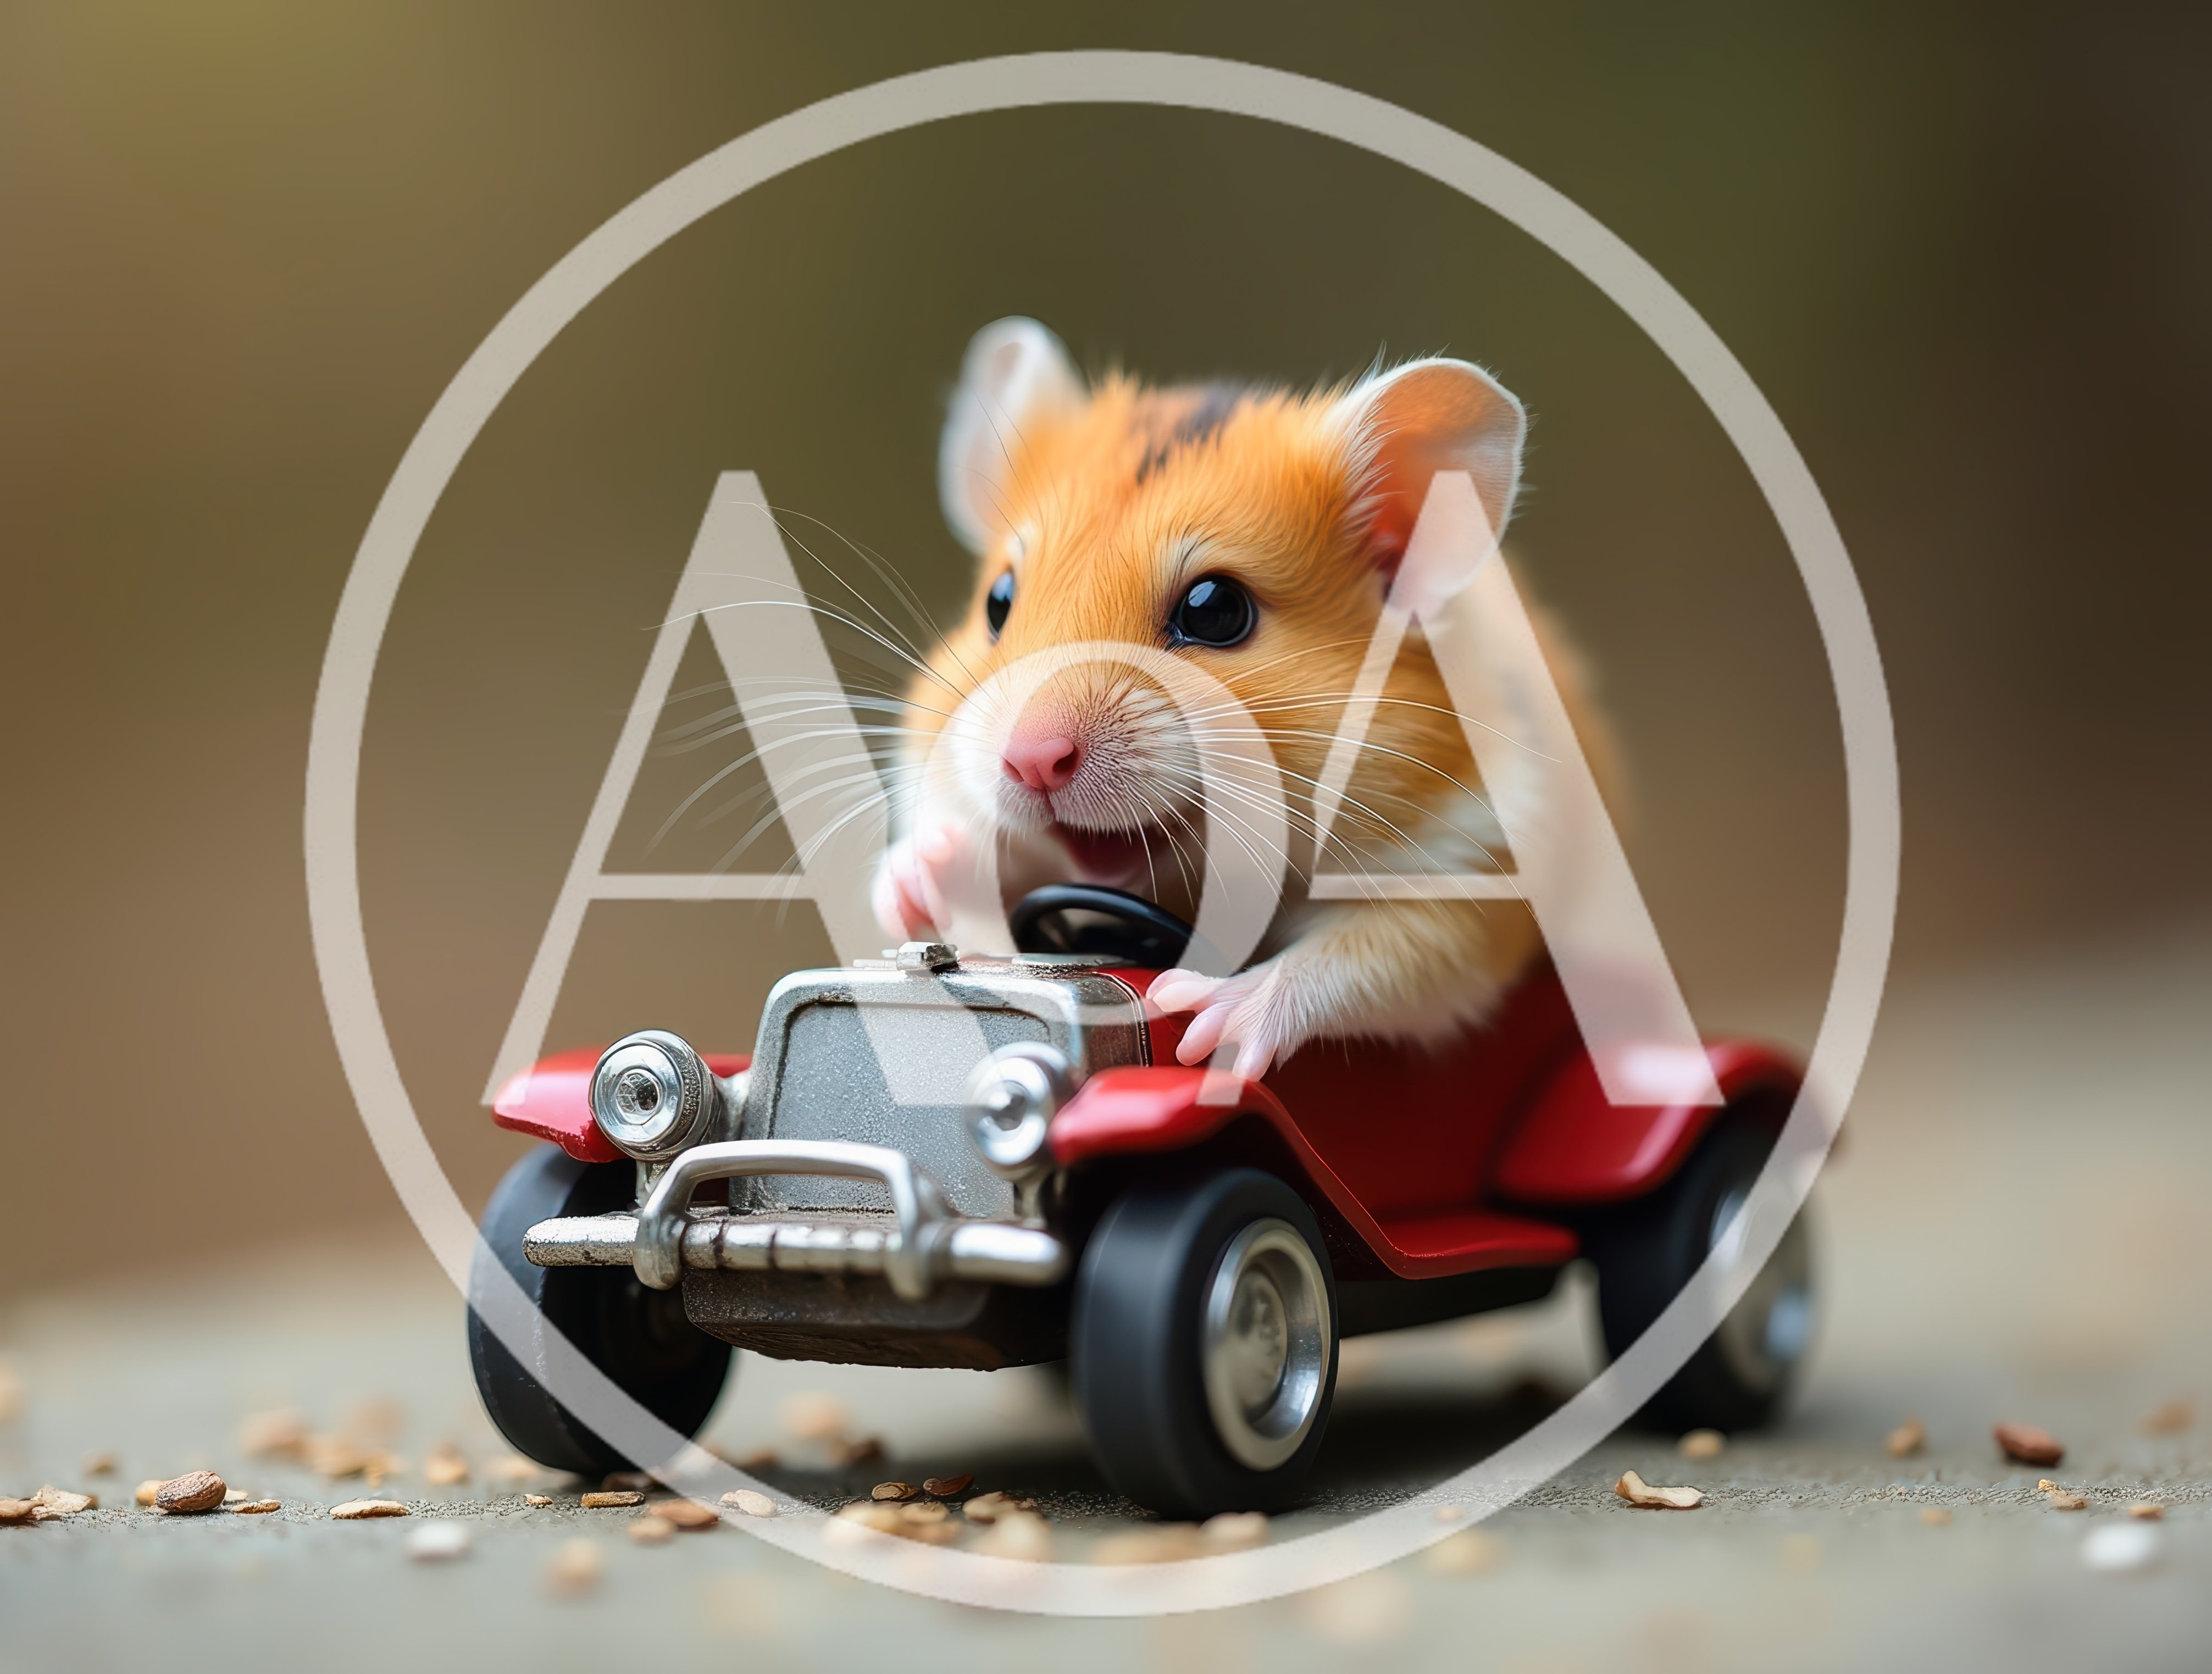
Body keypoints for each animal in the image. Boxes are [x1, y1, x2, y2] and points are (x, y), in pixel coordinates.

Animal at [873, 317, 1607, 1079]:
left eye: (1216, 610)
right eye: (998, 600)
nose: (1031, 762)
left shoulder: (1470, 883)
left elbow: (1361, 958)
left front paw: (1196, 1019)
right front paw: (922, 870)